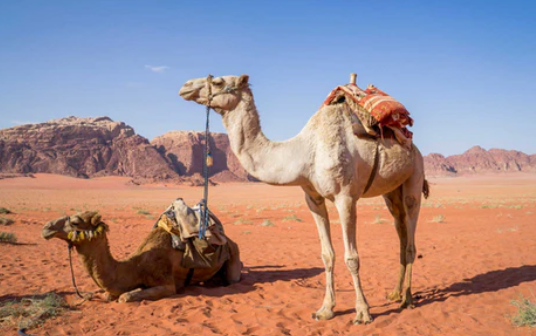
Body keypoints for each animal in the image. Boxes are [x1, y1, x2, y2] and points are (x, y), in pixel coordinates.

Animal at [41, 203, 241, 304]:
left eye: (75, 222)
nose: (46, 228)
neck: (136, 266)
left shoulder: (168, 284)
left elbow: (125, 297)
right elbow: (108, 294)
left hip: (233, 252)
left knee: (233, 278)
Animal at [180, 75, 432, 324]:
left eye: (219, 81)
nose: (185, 86)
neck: (304, 152)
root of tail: (413, 145)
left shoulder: (345, 197)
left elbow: (352, 257)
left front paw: (362, 312)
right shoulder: (313, 199)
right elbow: (327, 255)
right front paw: (326, 309)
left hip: (414, 176)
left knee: (410, 237)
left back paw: (407, 299)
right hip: (391, 192)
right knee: (400, 232)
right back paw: (395, 293)